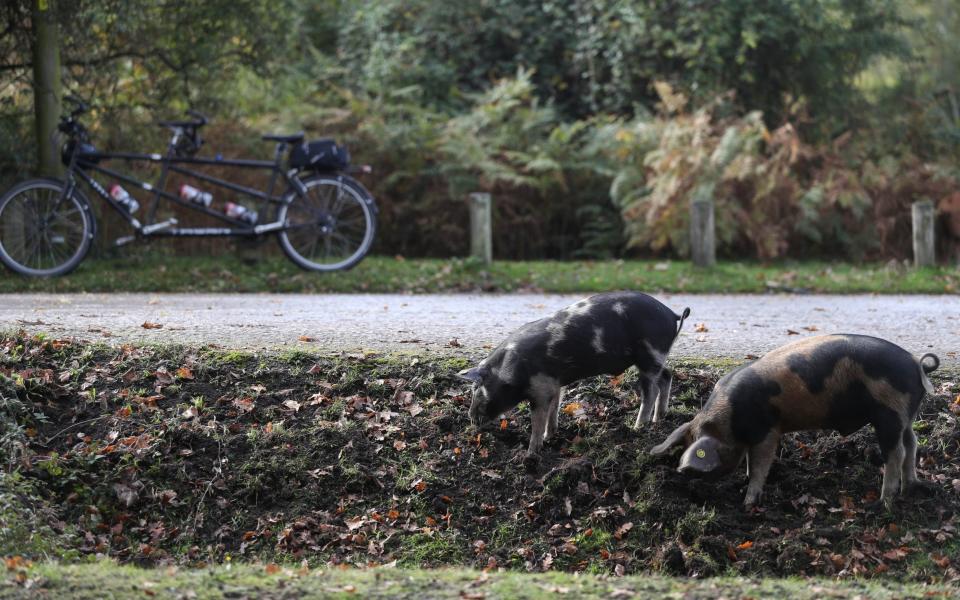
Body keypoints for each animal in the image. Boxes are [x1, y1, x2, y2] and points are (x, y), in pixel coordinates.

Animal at [458, 290, 688, 464]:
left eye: (475, 389)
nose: (470, 418)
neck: (510, 370)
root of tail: (671, 314)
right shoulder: (555, 385)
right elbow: (554, 410)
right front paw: (550, 437)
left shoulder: (540, 388)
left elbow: (538, 421)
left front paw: (531, 453)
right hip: (656, 359)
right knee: (667, 376)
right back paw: (659, 419)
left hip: (650, 356)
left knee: (651, 391)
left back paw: (638, 426)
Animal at [652, 336, 936, 508]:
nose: (684, 471)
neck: (729, 417)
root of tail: (916, 363)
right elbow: (750, 461)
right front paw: (744, 481)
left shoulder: (769, 431)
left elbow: (761, 464)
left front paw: (748, 502)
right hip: (905, 416)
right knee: (912, 444)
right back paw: (911, 488)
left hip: (889, 413)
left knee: (896, 453)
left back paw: (882, 502)